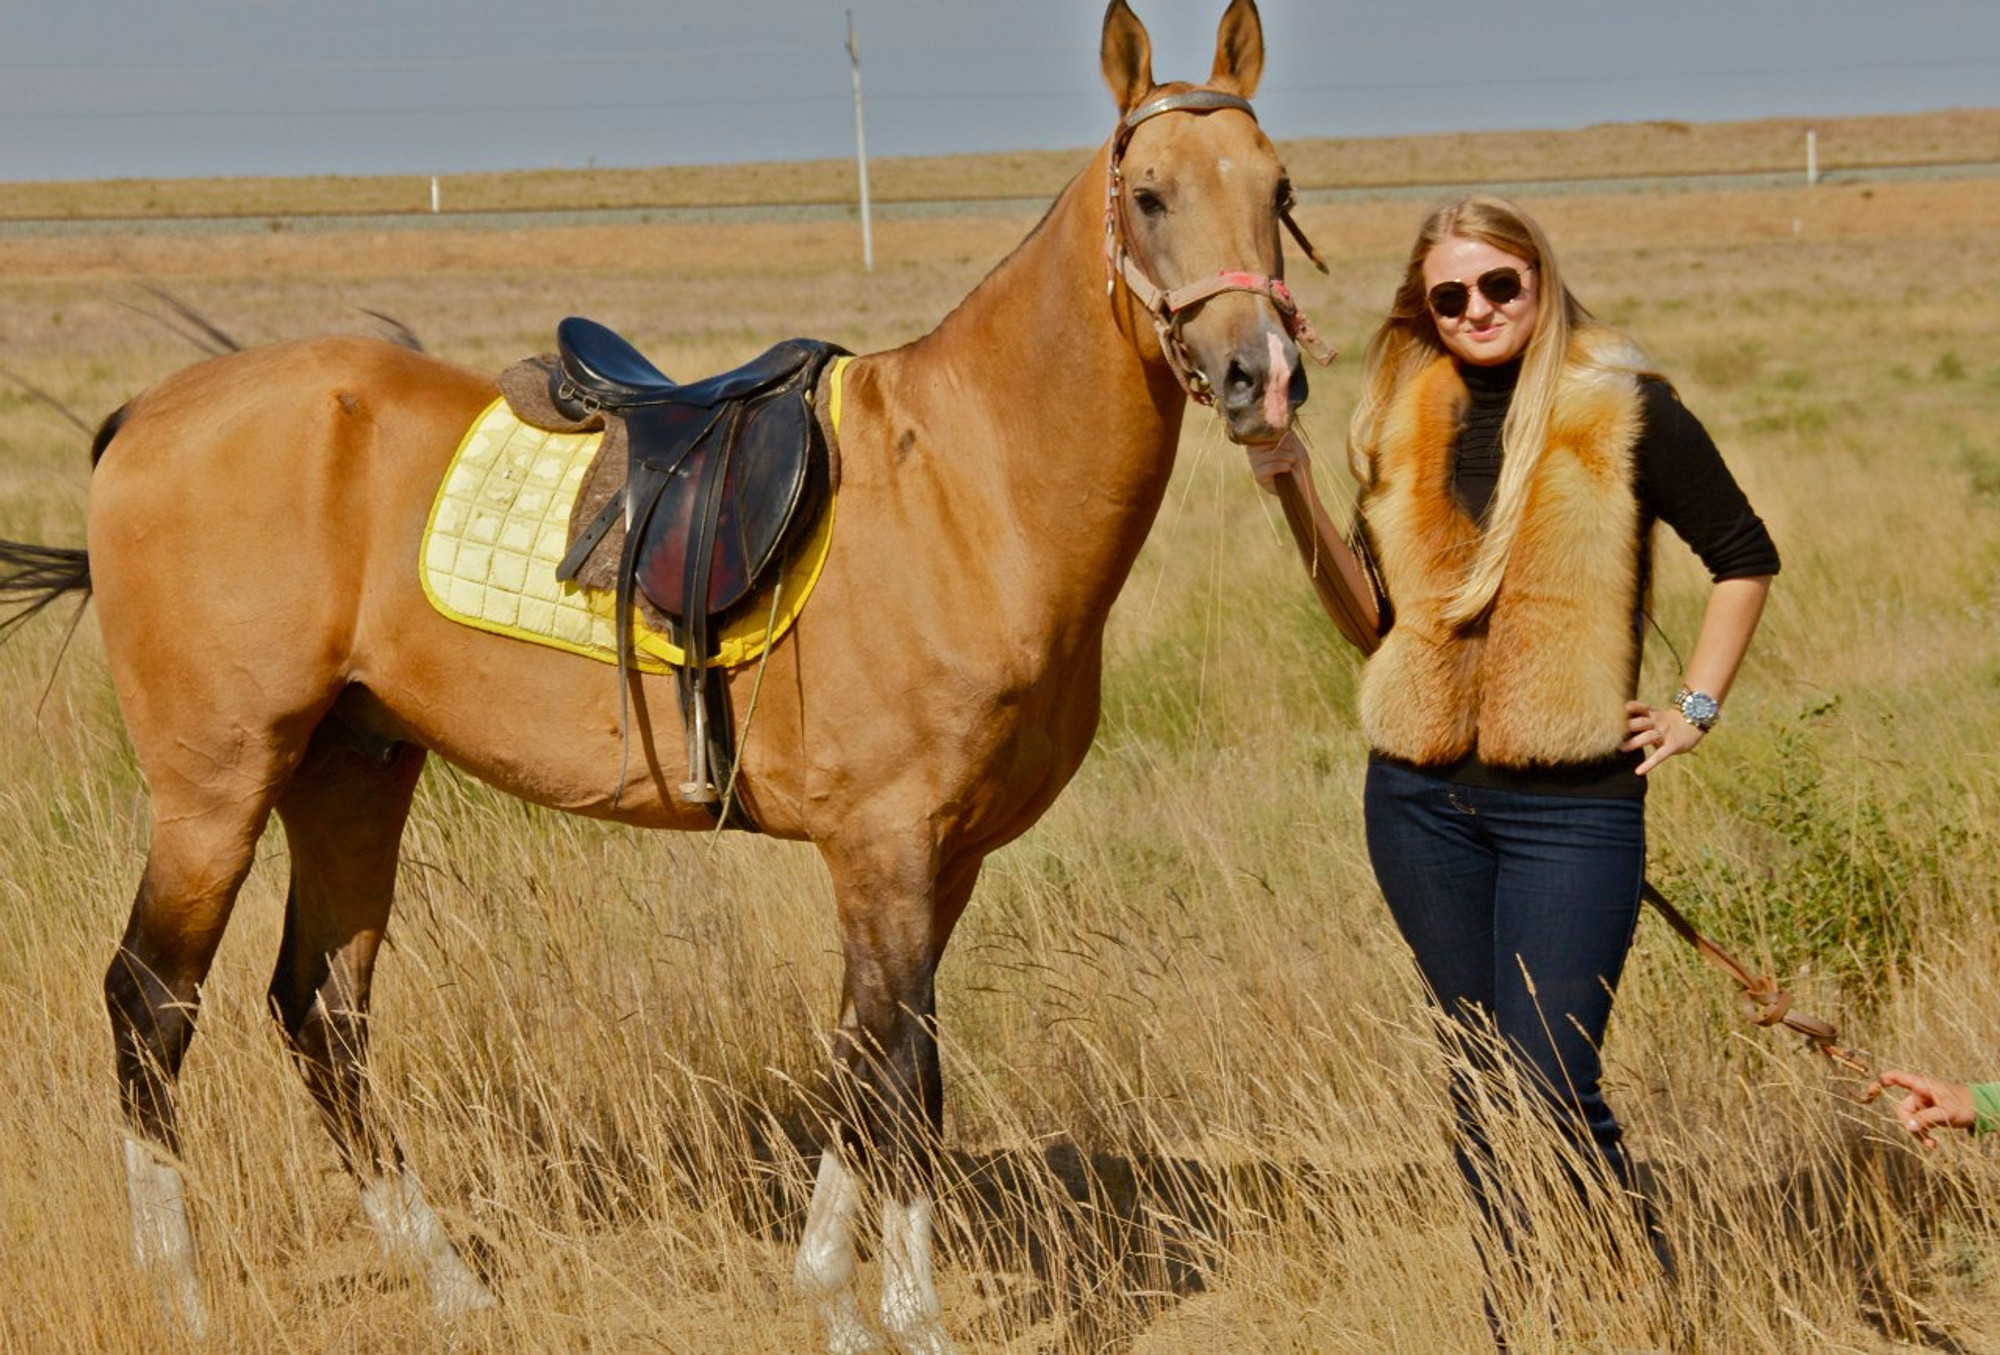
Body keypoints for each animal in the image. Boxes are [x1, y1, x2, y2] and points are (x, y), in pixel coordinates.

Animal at [0, 5, 1328, 1351]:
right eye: (1149, 194)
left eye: (1277, 190)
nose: (1259, 377)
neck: (964, 481)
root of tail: (147, 415)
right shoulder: (888, 845)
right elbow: (904, 1073)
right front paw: (907, 1314)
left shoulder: (940, 859)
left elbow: (859, 1054)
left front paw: (828, 1295)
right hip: (215, 785)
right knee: (151, 1002)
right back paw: (180, 1292)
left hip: (352, 768)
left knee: (323, 1010)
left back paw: (450, 1283)